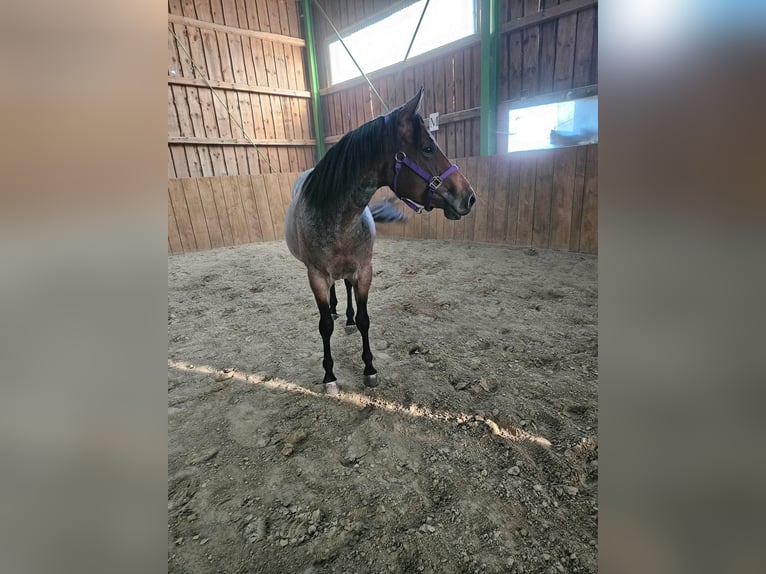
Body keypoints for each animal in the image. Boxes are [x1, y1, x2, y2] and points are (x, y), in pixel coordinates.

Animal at [285, 88, 476, 395]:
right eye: (427, 148)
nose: (469, 197)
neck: (336, 218)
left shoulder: (364, 271)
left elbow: (364, 319)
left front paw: (369, 368)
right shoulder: (316, 276)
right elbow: (324, 325)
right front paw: (329, 376)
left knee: (345, 287)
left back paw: (347, 318)